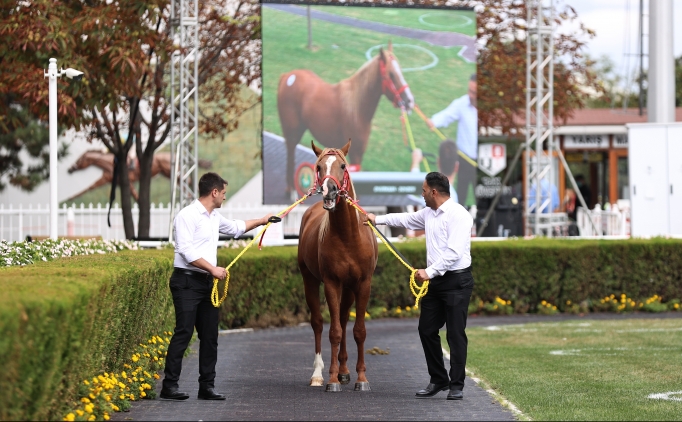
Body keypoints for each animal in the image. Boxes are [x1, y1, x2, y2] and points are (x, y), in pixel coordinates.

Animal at [278, 41, 414, 196]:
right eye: (391, 74)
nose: (409, 101)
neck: (357, 107)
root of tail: (288, 76)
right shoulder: (355, 154)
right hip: (292, 131)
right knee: (290, 155)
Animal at [298, 140, 378, 390]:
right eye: (318, 167)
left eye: (343, 166)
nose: (329, 191)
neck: (348, 236)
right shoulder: (332, 282)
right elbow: (334, 331)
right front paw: (332, 379)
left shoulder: (363, 283)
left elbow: (358, 330)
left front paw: (361, 378)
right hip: (309, 280)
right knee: (319, 323)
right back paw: (319, 374)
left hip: (349, 288)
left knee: (343, 318)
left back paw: (344, 371)